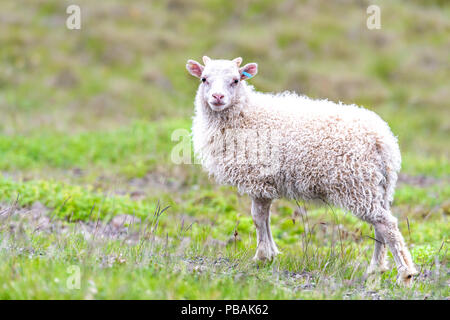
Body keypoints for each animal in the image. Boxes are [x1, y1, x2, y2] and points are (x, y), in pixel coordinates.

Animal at [186, 55, 418, 284]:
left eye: (235, 80)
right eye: (204, 79)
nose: (217, 97)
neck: (245, 114)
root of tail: (383, 139)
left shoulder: (258, 180)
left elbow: (258, 218)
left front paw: (262, 257)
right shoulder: (265, 183)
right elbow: (265, 219)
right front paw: (271, 254)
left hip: (357, 185)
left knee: (386, 224)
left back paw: (405, 273)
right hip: (379, 186)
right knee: (381, 224)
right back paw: (376, 269)